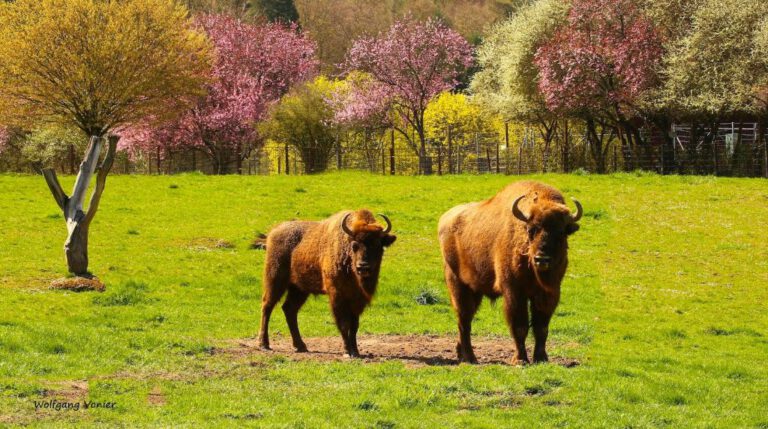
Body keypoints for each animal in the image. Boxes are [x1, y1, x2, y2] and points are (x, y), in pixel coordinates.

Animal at [260, 209, 400, 356]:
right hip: (275, 280)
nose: (363, 267)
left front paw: (355, 351)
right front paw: (347, 351)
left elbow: (354, 326)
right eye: (354, 245)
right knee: (267, 306)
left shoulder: (357, 300)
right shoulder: (337, 296)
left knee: (289, 309)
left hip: (299, 289)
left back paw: (300, 346)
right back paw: (264, 344)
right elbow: (343, 324)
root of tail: (273, 232)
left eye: (377, 245)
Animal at [438, 179, 584, 362]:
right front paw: (520, 360)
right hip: (458, 284)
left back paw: (462, 354)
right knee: (464, 320)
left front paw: (541, 358)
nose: (541, 259)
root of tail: (445, 219)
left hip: (475, 289)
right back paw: (470, 358)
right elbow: (520, 326)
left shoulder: (548, 293)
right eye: (531, 229)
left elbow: (541, 327)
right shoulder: (514, 292)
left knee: (465, 320)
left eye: (562, 232)